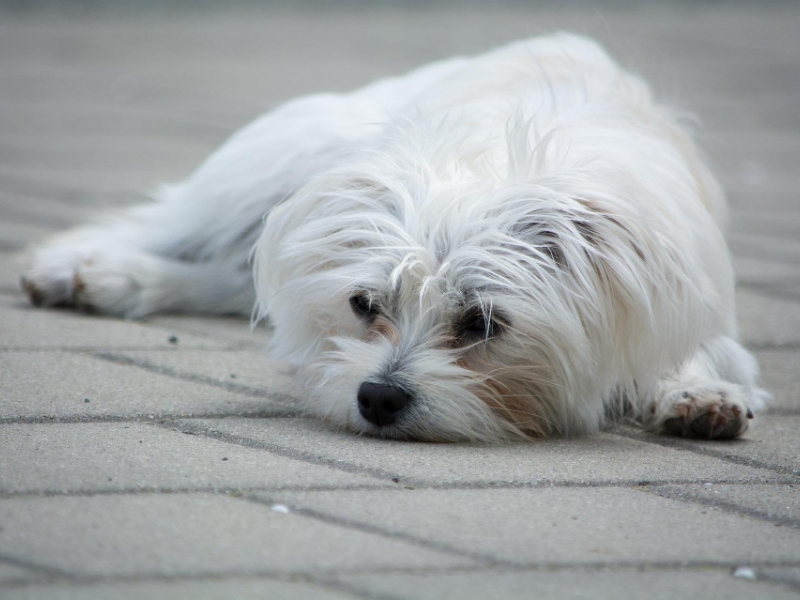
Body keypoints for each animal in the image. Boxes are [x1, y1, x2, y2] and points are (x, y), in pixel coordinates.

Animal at [20, 35, 768, 442]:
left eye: (483, 323)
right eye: (364, 305)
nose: (377, 399)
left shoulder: (691, 300)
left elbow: (697, 352)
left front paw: (699, 394)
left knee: (237, 280)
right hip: (273, 165)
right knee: (169, 226)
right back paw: (88, 268)